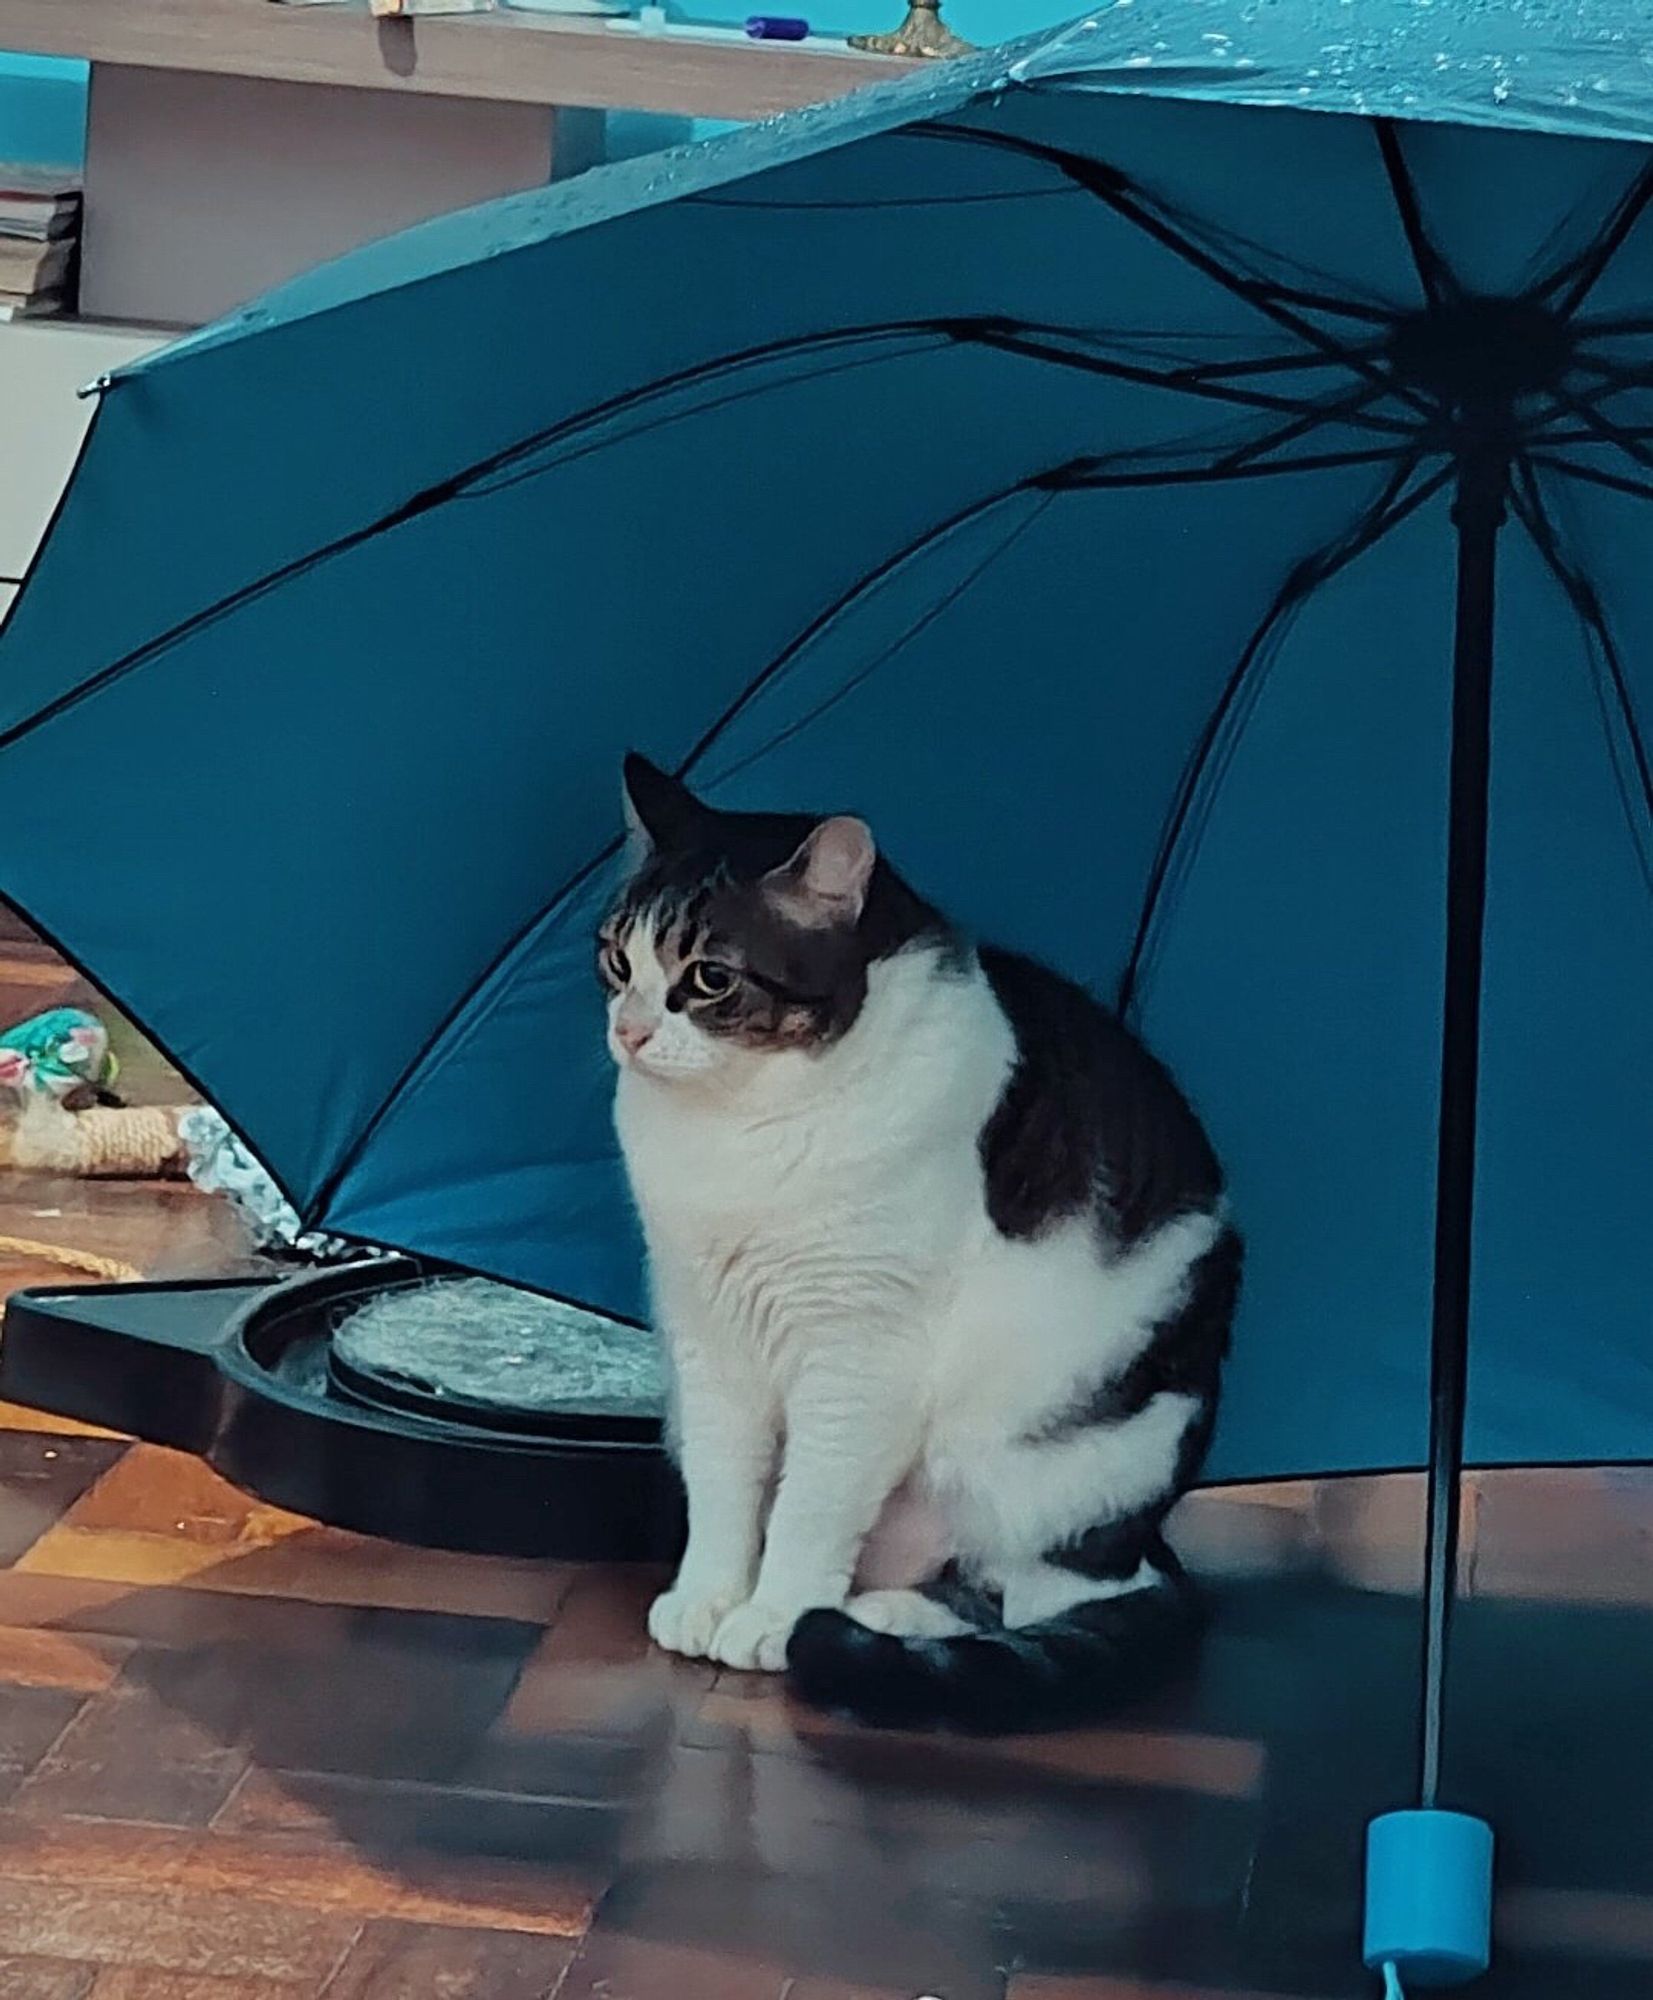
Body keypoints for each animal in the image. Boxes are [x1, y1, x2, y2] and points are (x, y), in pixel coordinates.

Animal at [600, 752, 1232, 1736]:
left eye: (706, 979)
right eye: (615, 958)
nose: (627, 1031)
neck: (743, 1126)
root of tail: (1147, 1537)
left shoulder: (858, 1355)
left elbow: (811, 1503)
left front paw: (771, 1616)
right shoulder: (707, 1336)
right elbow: (722, 1483)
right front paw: (707, 1597)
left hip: (1060, 1466)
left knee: (1033, 1600)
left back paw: (862, 1620)